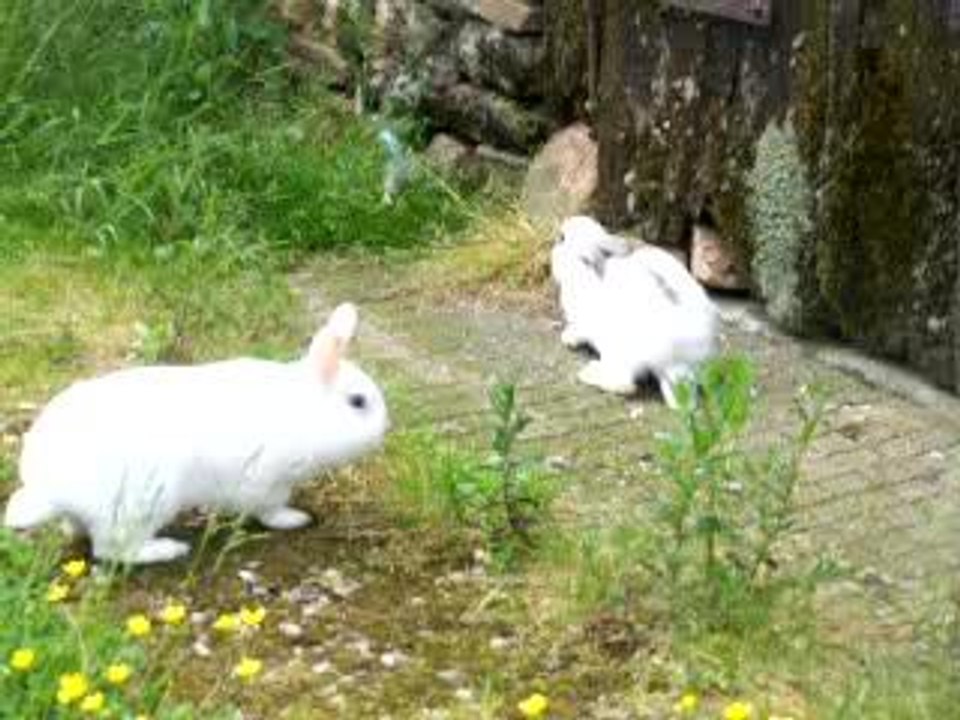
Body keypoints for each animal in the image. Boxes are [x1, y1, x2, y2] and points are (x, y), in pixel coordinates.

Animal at [4, 303, 389, 565]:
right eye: (358, 402)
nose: (385, 429)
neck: (305, 411)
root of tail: (48, 488)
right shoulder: (267, 483)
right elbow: (270, 509)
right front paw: (295, 519)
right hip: (144, 505)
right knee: (113, 550)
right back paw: (168, 549)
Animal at [552, 216, 719, 408]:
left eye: (562, 238)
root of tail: (674, 359)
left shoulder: (583, 322)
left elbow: (578, 331)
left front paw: (567, 338)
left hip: (619, 352)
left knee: (625, 384)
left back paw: (589, 373)